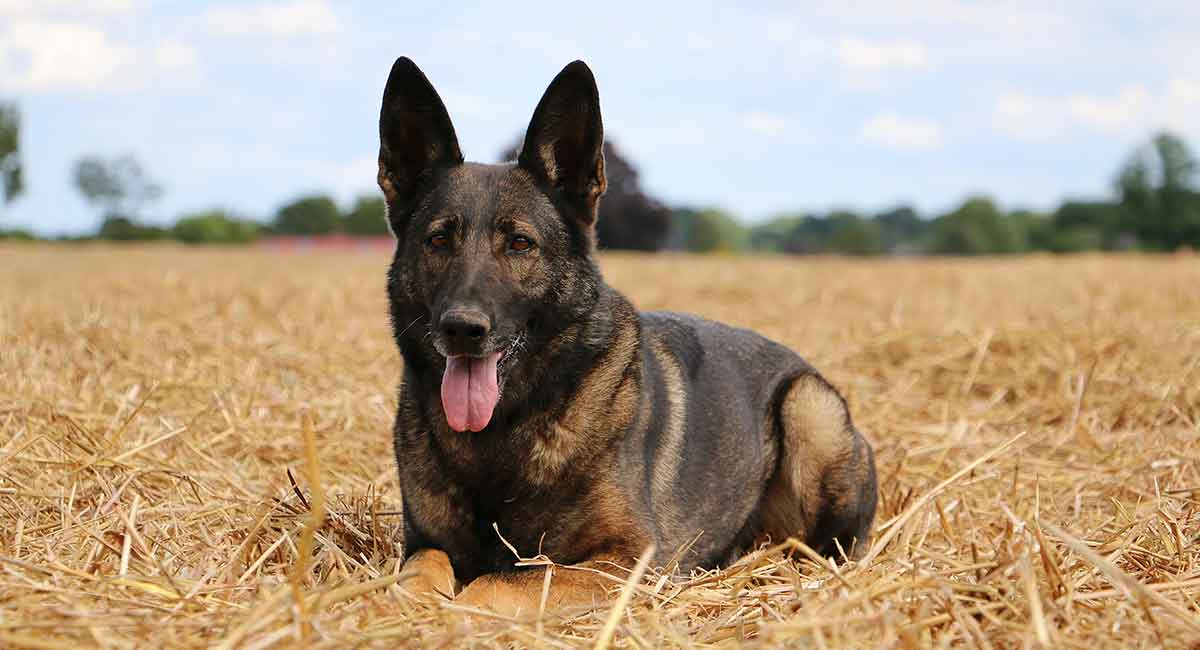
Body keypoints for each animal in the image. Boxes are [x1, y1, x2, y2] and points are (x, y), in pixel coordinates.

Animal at [379, 56, 878, 618]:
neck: (505, 429)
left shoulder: (624, 560)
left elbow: (500, 583)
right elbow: (422, 567)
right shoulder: (424, 541)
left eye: (520, 243)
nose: (462, 328)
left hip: (810, 408)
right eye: (438, 240)